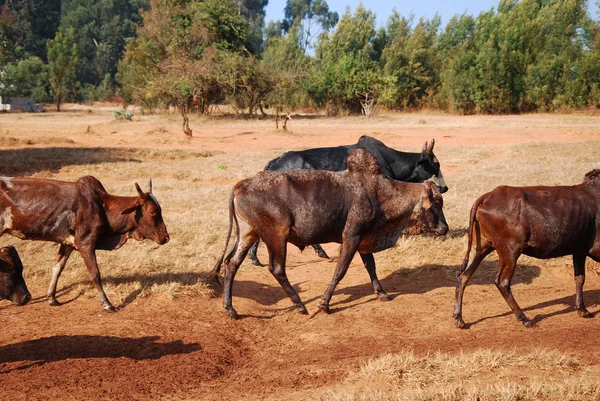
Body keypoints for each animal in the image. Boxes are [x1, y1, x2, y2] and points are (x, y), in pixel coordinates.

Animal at [0, 174, 169, 310]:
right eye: (153, 212)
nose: (166, 237)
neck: (101, 205)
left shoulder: (67, 244)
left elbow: (57, 268)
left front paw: (52, 298)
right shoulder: (86, 245)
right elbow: (95, 273)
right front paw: (107, 304)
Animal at [213, 148, 448, 318]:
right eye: (436, 205)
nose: (444, 228)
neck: (379, 193)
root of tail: (244, 183)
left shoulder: (364, 240)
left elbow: (371, 267)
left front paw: (382, 293)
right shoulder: (351, 237)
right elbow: (340, 271)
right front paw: (324, 304)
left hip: (248, 234)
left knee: (231, 263)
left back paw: (230, 308)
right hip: (276, 237)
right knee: (277, 269)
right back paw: (299, 305)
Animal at [452, 169, 600, 328]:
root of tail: (487, 196)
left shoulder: (579, 251)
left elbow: (580, 278)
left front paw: (582, 310)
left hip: (481, 249)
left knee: (463, 276)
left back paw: (459, 318)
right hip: (510, 252)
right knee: (502, 282)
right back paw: (524, 318)